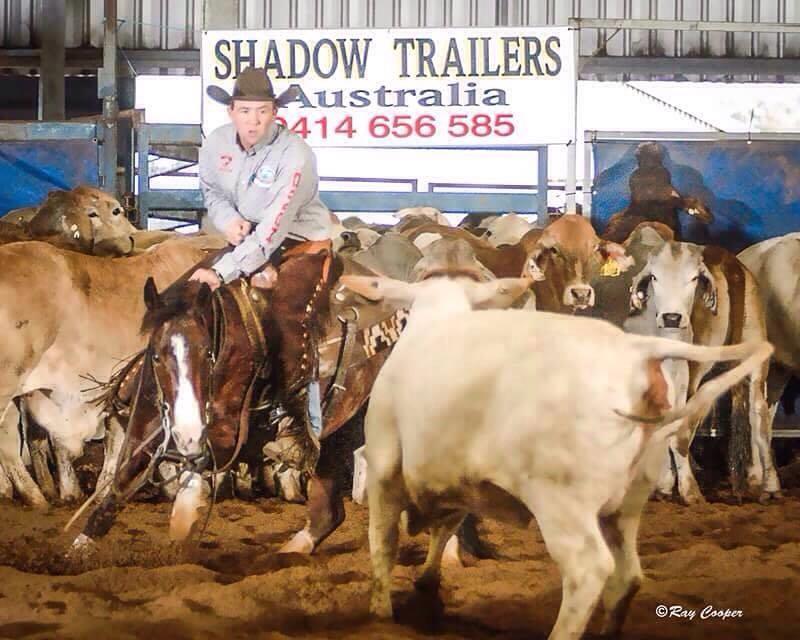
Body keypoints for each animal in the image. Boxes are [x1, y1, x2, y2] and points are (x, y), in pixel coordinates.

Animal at [341, 273, 771, 640]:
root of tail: (635, 350)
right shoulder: (454, 480)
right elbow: (445, 528)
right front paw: (426, 586)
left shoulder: (384, 468)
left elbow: (383, 543)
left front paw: (380, 615)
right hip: (628, 500)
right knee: (628, 576)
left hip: (561, 501)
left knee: (589, 570)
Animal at [629, 241, 781, 503]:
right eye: (654, 277)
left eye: (693, 278)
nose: (671, 318)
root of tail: (727, 261)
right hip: (756, 345)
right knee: (759, 414)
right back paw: (769, 486)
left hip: (695, 365)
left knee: (686, 423)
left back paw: (688, 490)